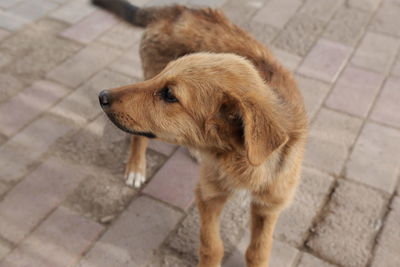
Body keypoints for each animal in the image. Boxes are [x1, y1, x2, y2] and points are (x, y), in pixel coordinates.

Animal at [92, 1, 308, 266]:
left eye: (169, 95)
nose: (102, 96)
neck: (239, 160)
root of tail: (177, 10)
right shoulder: (208, 195)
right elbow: (211, 246)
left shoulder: (269, 206)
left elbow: (258, 251)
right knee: (139, 136)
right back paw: (136, 167)